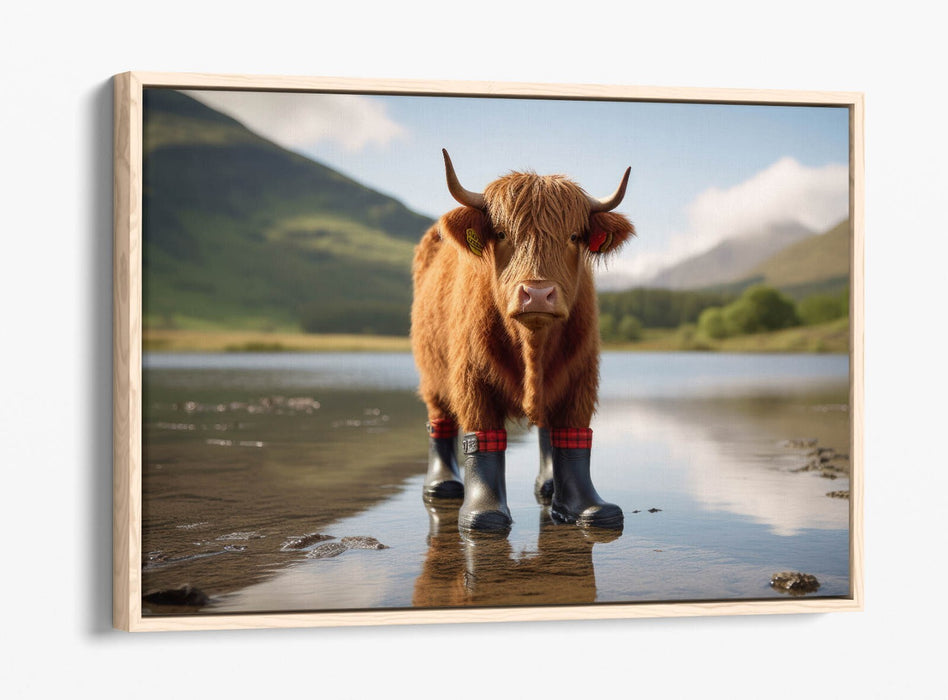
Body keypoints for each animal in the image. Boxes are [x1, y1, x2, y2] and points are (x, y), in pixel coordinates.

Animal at [411, 149, 635, 533]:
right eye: (501, 233)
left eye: (573, 236)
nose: (538, 294)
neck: (532, 343)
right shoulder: (472, 379)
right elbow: (482, 440)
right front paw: (484, 515)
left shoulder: (581, 377)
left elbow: (573, 435)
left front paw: (586, 509)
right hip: (431, 377)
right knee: (439, 422)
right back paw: (442, 486)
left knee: (546, 429)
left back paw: (548, 486)